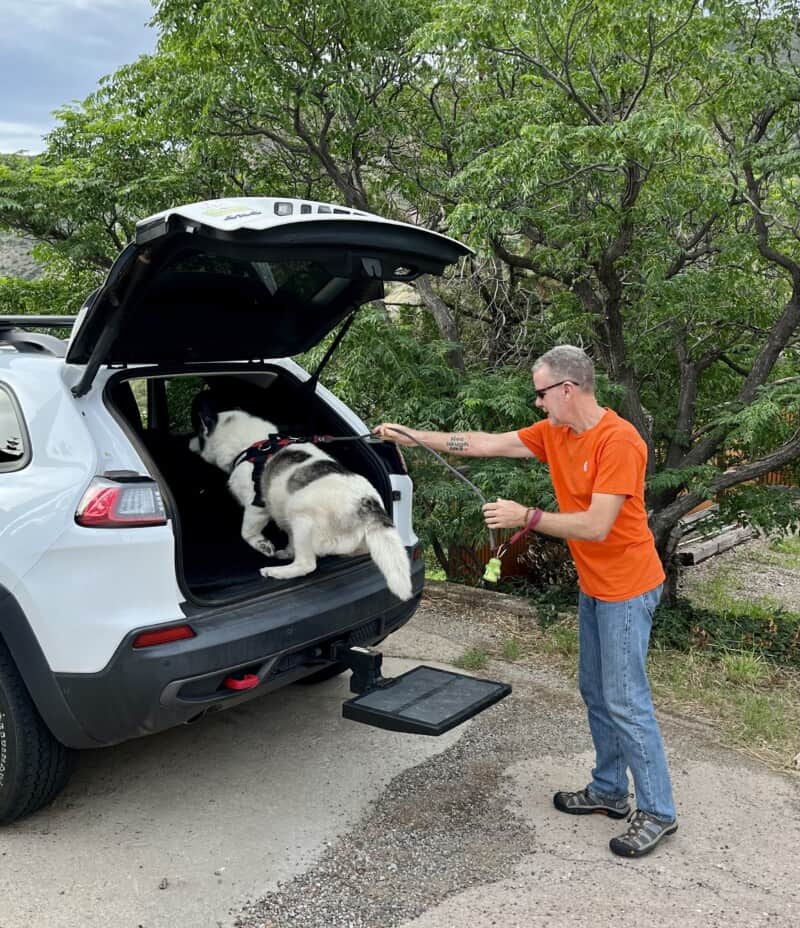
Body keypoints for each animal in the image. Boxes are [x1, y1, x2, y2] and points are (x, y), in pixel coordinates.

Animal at [188, 396, 412, 600]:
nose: (187, 442)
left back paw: (277, 571)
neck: (252, 443)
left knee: (306, 565)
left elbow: (247, 532)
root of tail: (367, 505)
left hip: (300, 512)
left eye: (198, 433)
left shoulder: (257, 506)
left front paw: (262, 545)